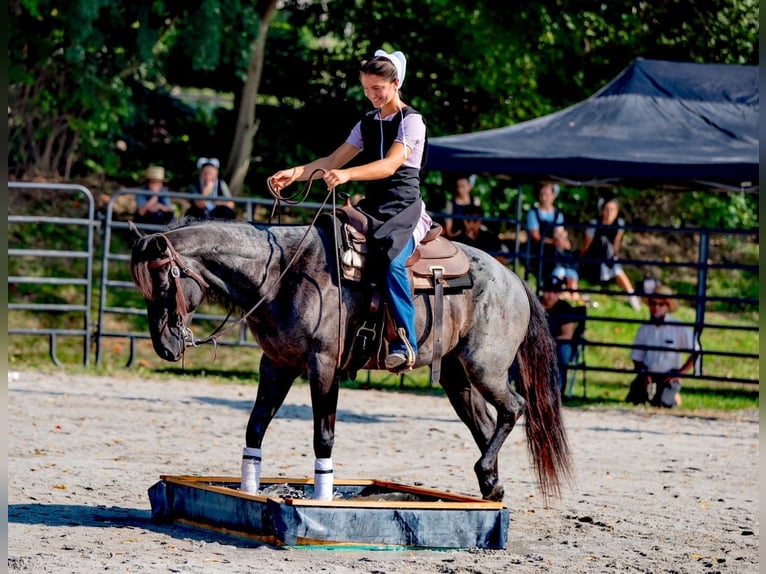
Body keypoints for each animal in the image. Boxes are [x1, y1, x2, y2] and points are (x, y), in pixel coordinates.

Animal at [129, 219, 572, 504]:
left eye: (164, 282)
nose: (165, 346)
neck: (283, 272)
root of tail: (514, 280)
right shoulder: (276, 364)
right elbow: (255, 427)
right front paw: (250, 489)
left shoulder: (323, 365)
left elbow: (323, 435)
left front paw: (322, 495)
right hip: (456, 377)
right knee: (483, 422)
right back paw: (490, 488)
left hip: (486, 368)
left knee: (514, 408)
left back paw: (486, 475)